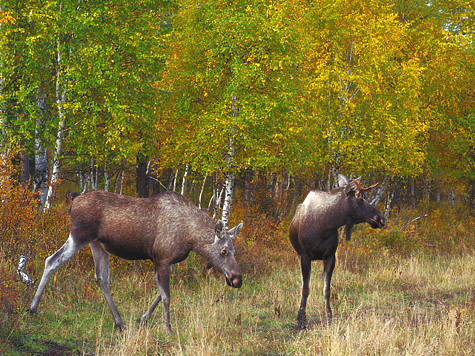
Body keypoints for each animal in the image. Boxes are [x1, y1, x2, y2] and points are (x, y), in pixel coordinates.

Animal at [28, 191, 245, 332]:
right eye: (223, 251)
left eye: (234, 251)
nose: (237, 279)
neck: (191, 239)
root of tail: (72, 204)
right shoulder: (163, 258)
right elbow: (166, 296)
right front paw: (168, 328)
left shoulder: (162, 261)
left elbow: (159, 293)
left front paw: (142, 320)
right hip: (79, 235)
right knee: (52, 261)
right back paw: (33, 309)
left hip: (97, 244)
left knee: (101, 278)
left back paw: (120, 323)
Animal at [290, 174, 386, 330]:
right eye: (359, 199)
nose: (381, 218)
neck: (325, 226)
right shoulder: (305, 256)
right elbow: (305, 289)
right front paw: (302, 320)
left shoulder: (330, 256)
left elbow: (327, 290)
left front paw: (329, 317)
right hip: (299, 255)